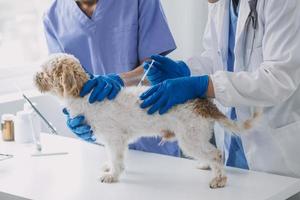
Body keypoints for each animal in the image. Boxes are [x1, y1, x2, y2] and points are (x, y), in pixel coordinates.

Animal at [34, 53, 260, 188]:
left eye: (44, 72)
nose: (34, 77)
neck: (84, 95)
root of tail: (203, 103)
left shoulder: (115, 140)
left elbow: (117, 160)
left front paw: (112, 175)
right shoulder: (113, 141)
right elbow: (112, 158)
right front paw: (109, 168)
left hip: (190, 139)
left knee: (217, 153)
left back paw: (219, 179)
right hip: (196, 138)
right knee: (210, 152)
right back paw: (205, 165)